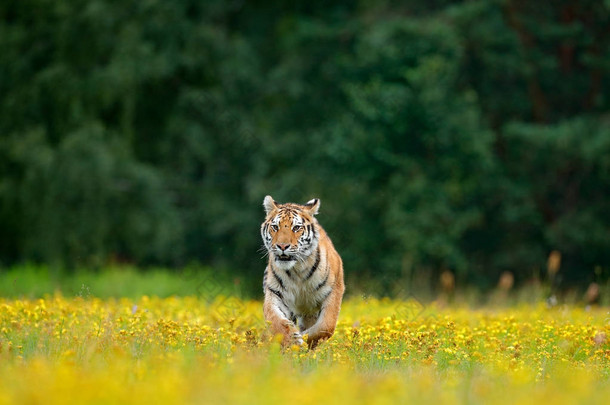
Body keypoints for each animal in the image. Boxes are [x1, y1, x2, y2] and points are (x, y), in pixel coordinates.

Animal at [258, 196, 342, 348]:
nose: (282, 246)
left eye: (296, 227)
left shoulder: (334, 290)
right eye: (275, 227)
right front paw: (293, 340)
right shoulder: (275, 293)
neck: (298, 271)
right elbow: (276, 321)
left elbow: (326, 325)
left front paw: (305, 337)